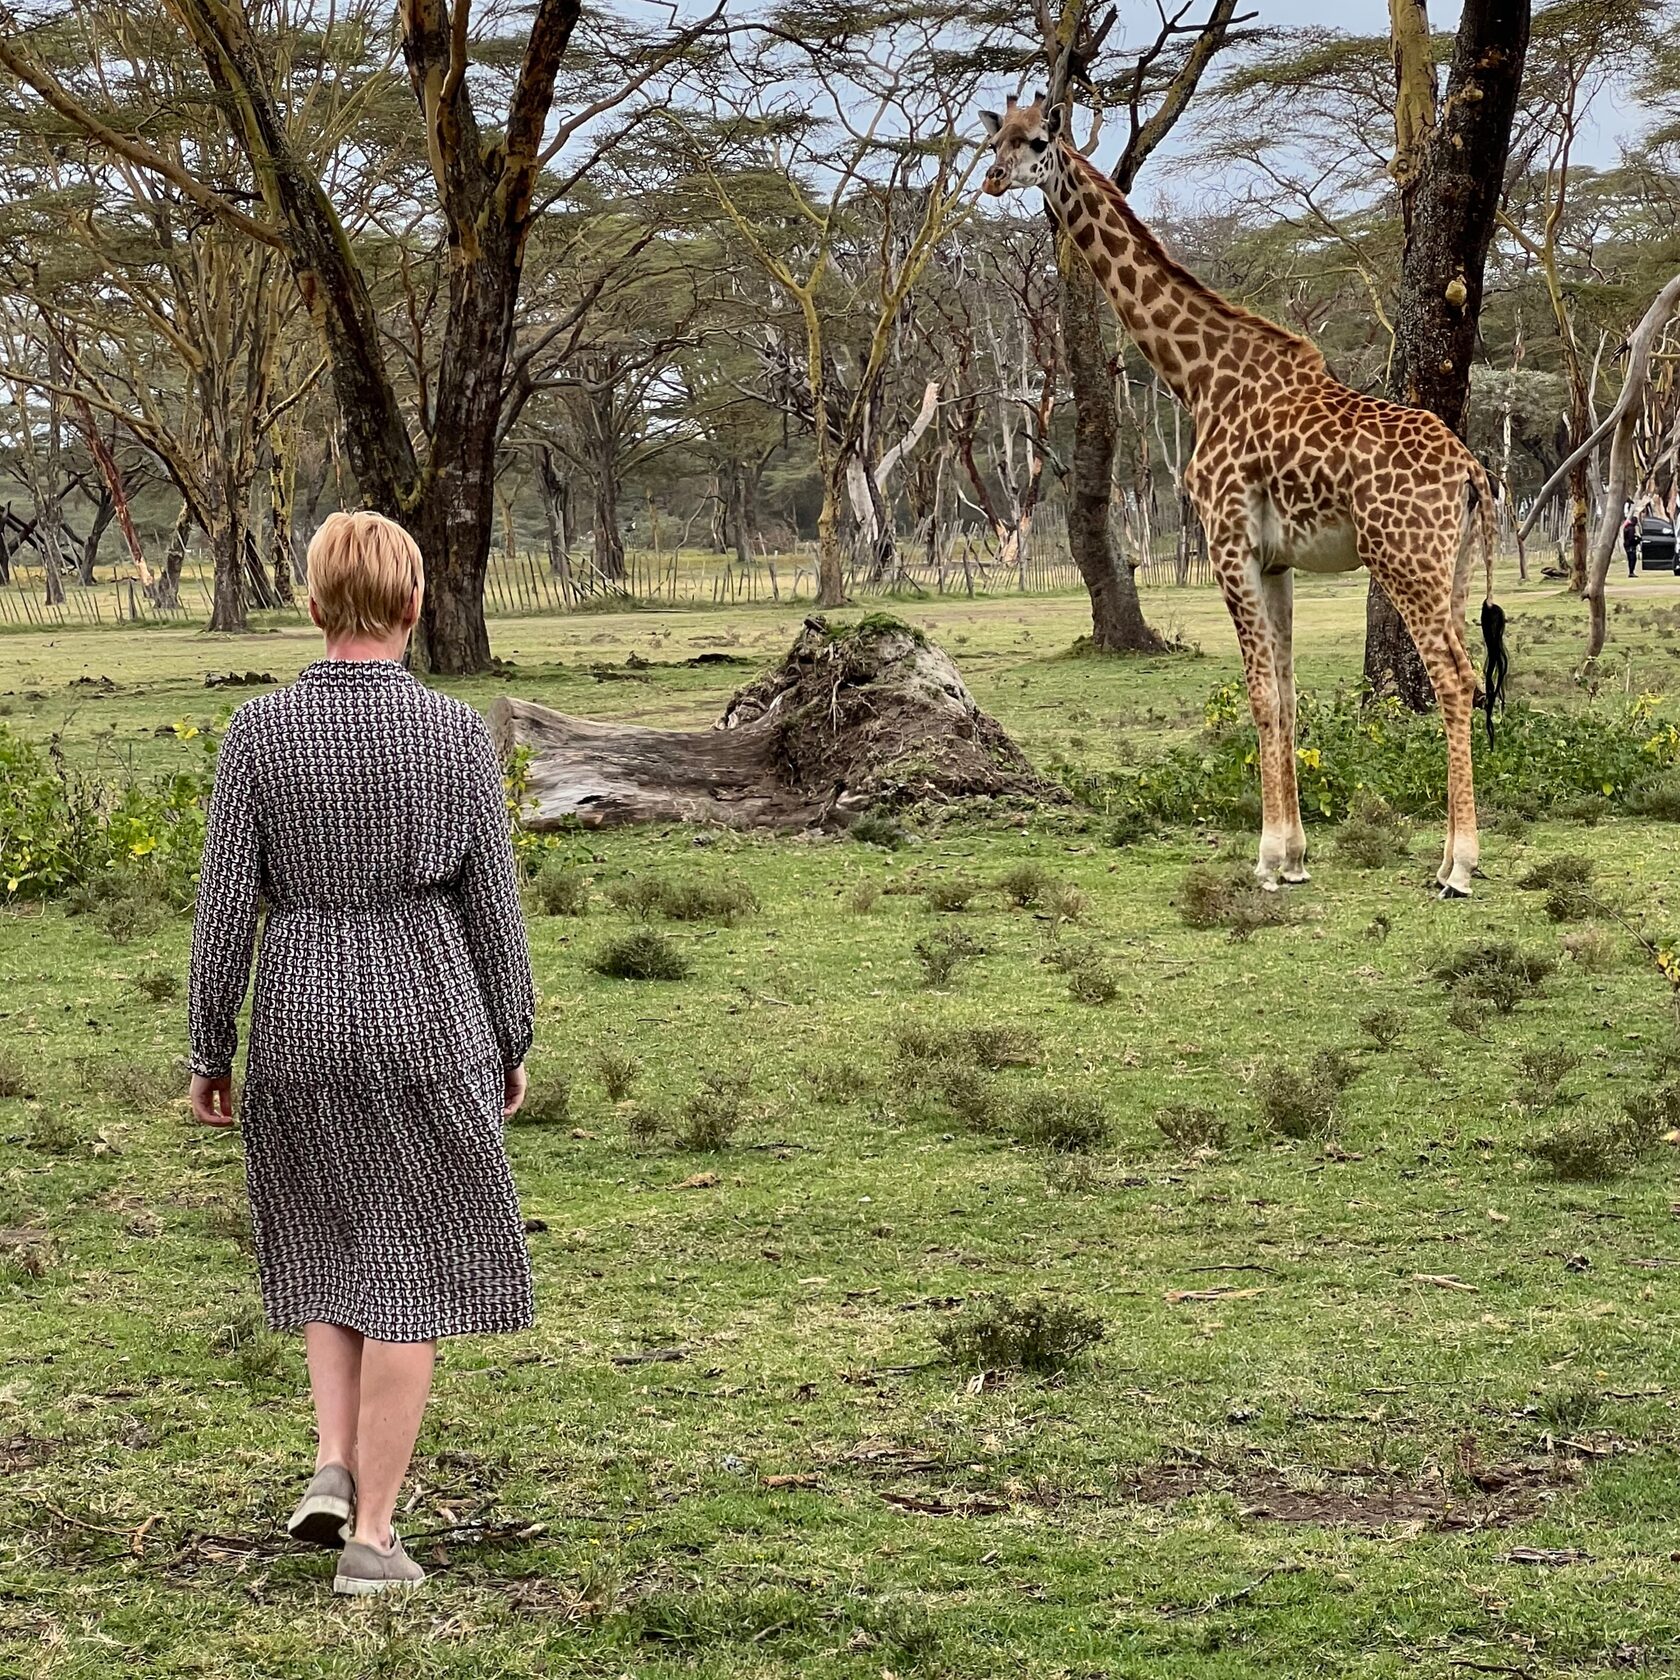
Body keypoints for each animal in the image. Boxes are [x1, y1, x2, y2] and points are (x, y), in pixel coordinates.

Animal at [981, 95, 1505, 893]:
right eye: (994, 138)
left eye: (1038, 140)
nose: (991, 179)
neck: (1199, 377)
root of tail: (1470, 471)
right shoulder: (1276, 559)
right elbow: (1285, 694)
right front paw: (1294, 858)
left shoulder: (1228, 543)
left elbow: (1257, 693)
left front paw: (1264, 858)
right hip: (1450, 564)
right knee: (1464, 673)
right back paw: (1446, 857)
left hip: (1404, 558)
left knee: (1453, 676)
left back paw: (1460, 867)